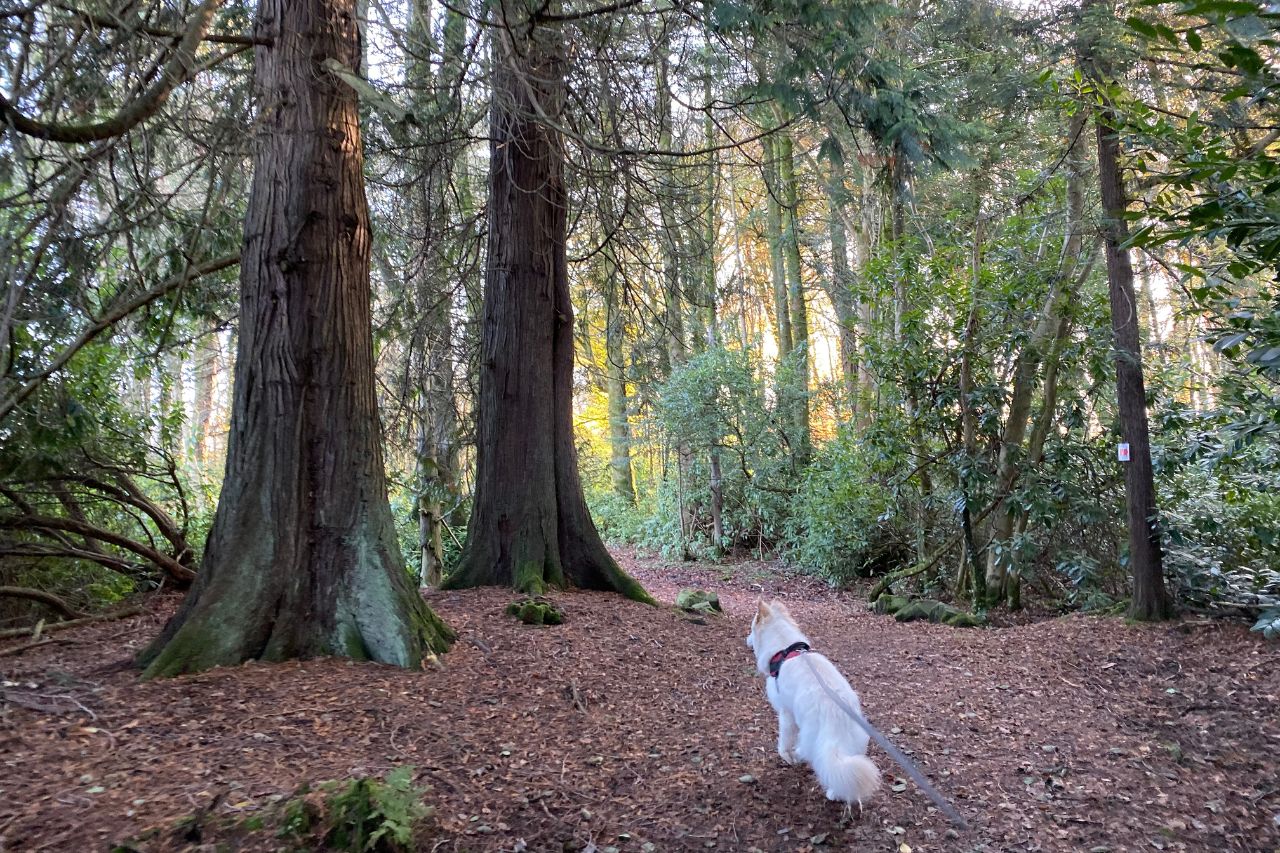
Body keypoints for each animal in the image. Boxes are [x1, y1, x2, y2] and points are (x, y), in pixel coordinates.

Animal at [747, 594, 885, 799]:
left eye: (750, 629)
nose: (746, 639)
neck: (784, 649)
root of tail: (837, 718)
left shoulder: (786, 713)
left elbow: (784, 740)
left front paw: (785, 755)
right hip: (853, 744)